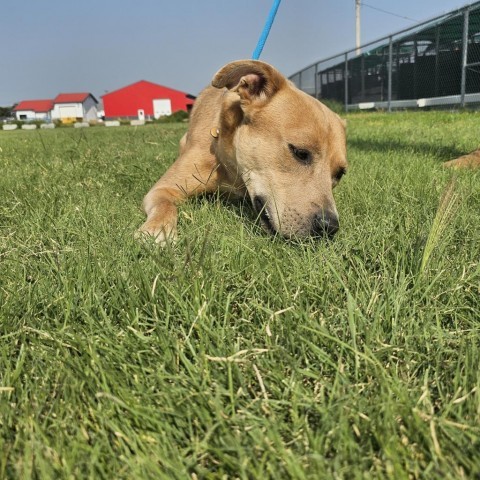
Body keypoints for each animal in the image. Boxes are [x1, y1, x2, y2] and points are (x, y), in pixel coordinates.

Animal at [137, 60, 346, 244]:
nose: (329, 227)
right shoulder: (163, 189)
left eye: (339, 174)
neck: (233, 172)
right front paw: (158, 229)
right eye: (300, 153)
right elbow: (165, 204)